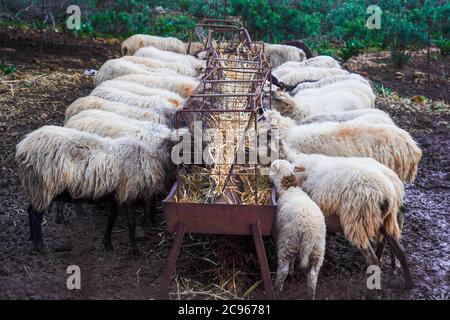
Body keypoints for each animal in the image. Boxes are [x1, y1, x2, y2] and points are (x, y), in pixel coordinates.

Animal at [268, 160, 326, 300]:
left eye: (271, 168)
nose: (268, 180)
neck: (289, 188)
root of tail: (309, 235)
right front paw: (292, 270)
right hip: (318, 250)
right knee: (312, 276)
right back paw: (311, 295)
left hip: (288, 242)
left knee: (282, 270)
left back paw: (277, 289)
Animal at [284, 148, 414, 288]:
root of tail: (387, 195)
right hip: (386, 222)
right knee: (400, 251)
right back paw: (408, 284)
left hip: (358, 223)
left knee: (372, 259)